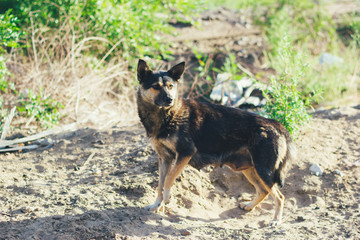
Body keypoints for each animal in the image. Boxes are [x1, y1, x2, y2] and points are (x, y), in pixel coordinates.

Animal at [136, 59, 296, 224]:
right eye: (156, 86)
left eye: (170, 86)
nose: (170, 99)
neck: (166, 115)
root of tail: (277, 125)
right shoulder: (164, 159)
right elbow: (160, 184)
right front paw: (157, 205)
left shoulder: (185, 153)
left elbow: (168, 179)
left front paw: (166, 198)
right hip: (250, 169)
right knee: (263, 191)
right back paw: (250, 206)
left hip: (264, 171)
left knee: (280, 196)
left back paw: (276, 220)